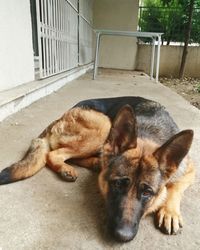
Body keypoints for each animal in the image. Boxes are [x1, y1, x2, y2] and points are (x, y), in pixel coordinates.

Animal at [0, 96, 195, 242]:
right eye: (117, 184)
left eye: (147, 192)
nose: (122, 236)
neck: (149, 133)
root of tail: (60, 117)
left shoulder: (190, 170)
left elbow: (175, 187)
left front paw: (170, 212)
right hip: (105, 125)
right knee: (53, 154)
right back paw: (67, 168)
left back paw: (93, 163)